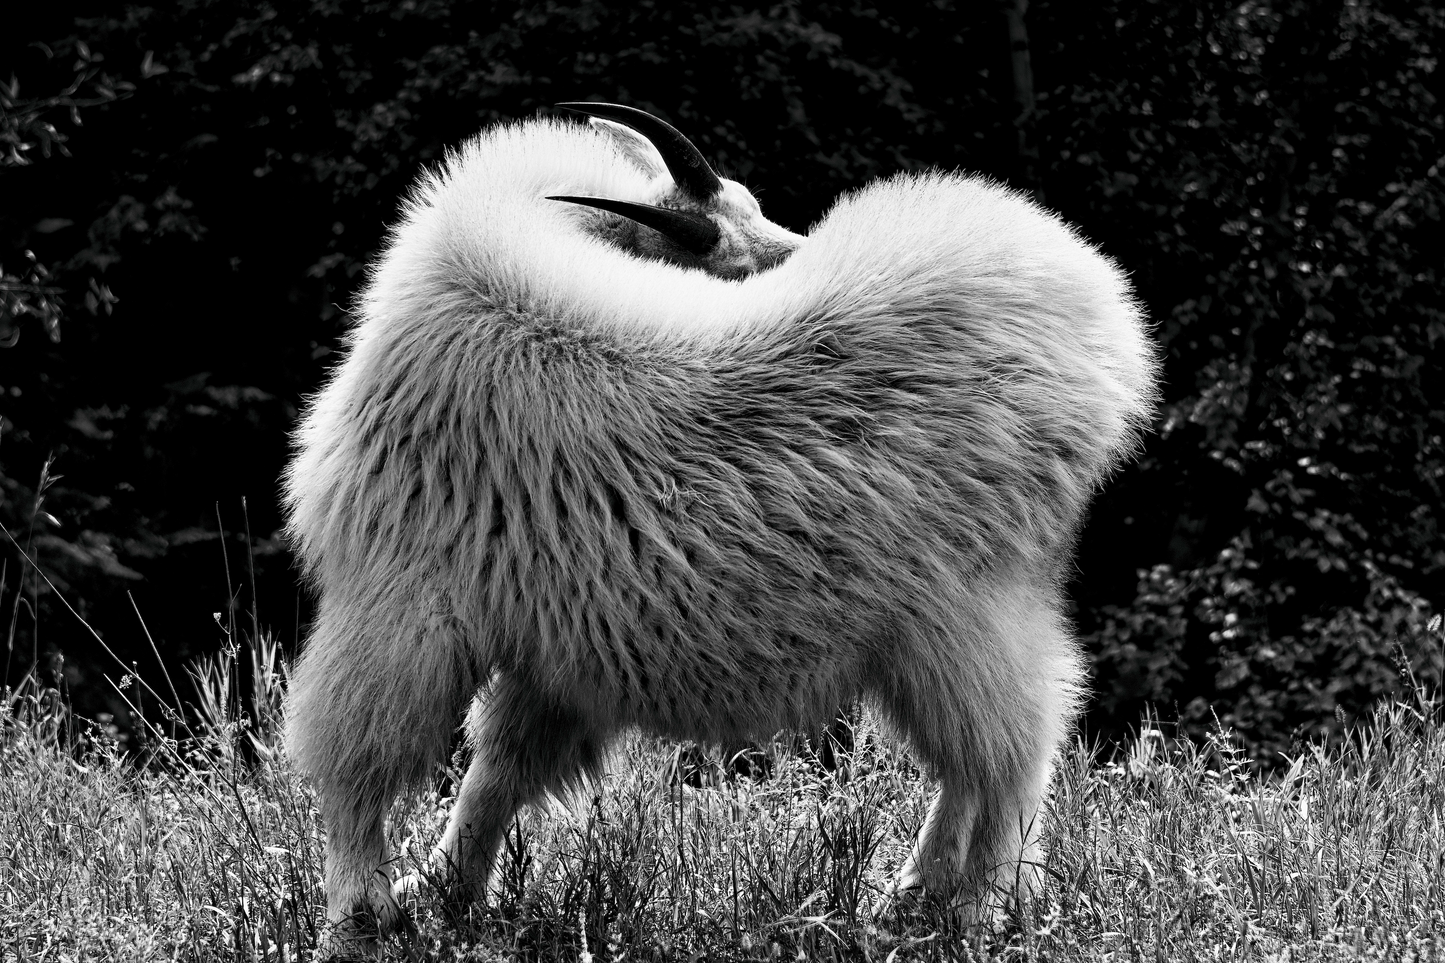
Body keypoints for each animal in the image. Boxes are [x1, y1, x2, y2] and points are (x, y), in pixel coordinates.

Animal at [282, 102, 1158, 956]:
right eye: (723, 240)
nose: (796, 255)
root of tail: (1104, 327)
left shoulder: (396, 592)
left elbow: (356, 762)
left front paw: (358, 914)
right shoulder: (552, 651)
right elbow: (494, 773)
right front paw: (436, 892)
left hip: (966, 610)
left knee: (1006, 754)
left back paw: (975, 908)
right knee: (988, 757)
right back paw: (914, 900)